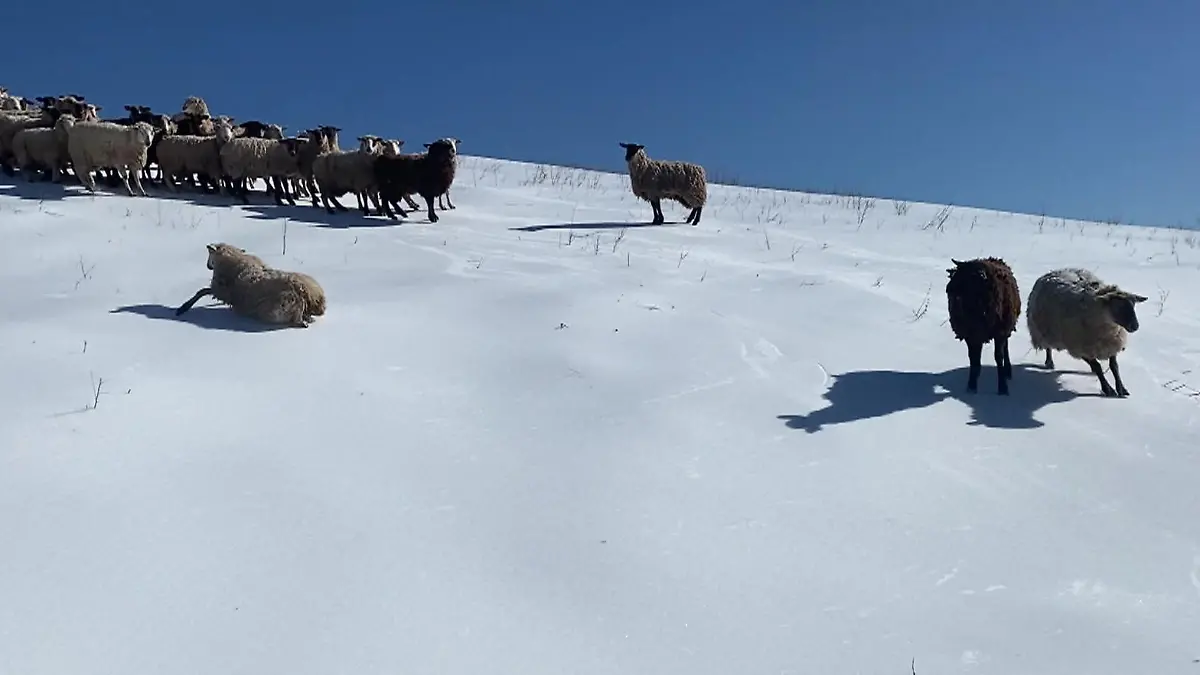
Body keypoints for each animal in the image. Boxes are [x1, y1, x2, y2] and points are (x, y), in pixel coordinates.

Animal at [176, 243, 326, 329]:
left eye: (209, 254)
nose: (208, 266)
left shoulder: (222, 291)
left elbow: (202, 291)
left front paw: (183, 307)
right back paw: (307, 319)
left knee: (297, 322)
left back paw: (302, 322)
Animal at [945, 257, 1022, 395]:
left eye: (971, 276)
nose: (948, 289)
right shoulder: (971, 335)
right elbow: (973, 359)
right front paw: (971, 386)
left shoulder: (999, 332)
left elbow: (999, 357)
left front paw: (1003, 387)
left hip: (1006, 327)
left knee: (1005, 348)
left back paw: (1007, 371)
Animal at [1025, 267, 1148, 397]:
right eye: (1118, 306)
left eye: (1133, 305)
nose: (1135, 326)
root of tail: (1054, 271)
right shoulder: (1080, 348)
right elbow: (1098, 366)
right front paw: (1108, 389)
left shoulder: (1111, 345)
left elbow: (1114, 367)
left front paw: (1121, 388)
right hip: (1044, 330)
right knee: (1048, 347)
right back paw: (1049, 362)